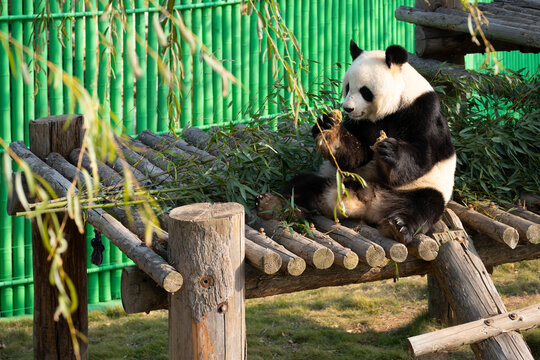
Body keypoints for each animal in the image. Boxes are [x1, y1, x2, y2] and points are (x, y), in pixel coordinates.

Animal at [286, 41, 456, 245]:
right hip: (337, 178)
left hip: (422, 189)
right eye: (347, 87)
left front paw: (390, 151)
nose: (347, 108)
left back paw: (399, 226)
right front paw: (330, 130)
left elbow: (423, 154)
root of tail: (370, 204)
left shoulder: (423, 111)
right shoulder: (362, 123)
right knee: (300, 184)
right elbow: (356, 155)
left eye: (365, 91)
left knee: (424, 205)